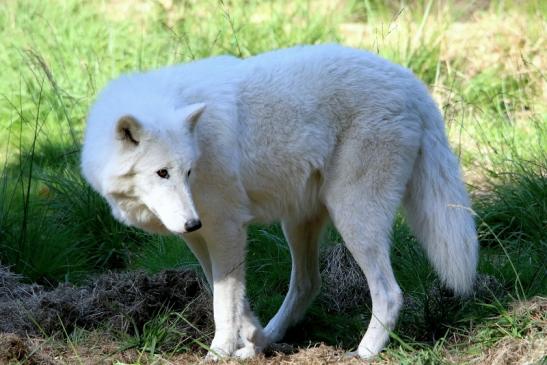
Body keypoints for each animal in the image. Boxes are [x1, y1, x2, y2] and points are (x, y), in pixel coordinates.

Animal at [81, 44, 480, 358]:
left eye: (188, 172)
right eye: (162, 173)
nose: (192, 222)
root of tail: (412, 84)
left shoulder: (226, 228)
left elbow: (223, 302)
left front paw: (218, 353)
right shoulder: (201, 236)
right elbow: (231, 295)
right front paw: (252, 337)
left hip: (353, 218)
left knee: (390, 292)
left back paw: (364, 353)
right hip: (299, 223)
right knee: (308, 284)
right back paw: (270, 338)